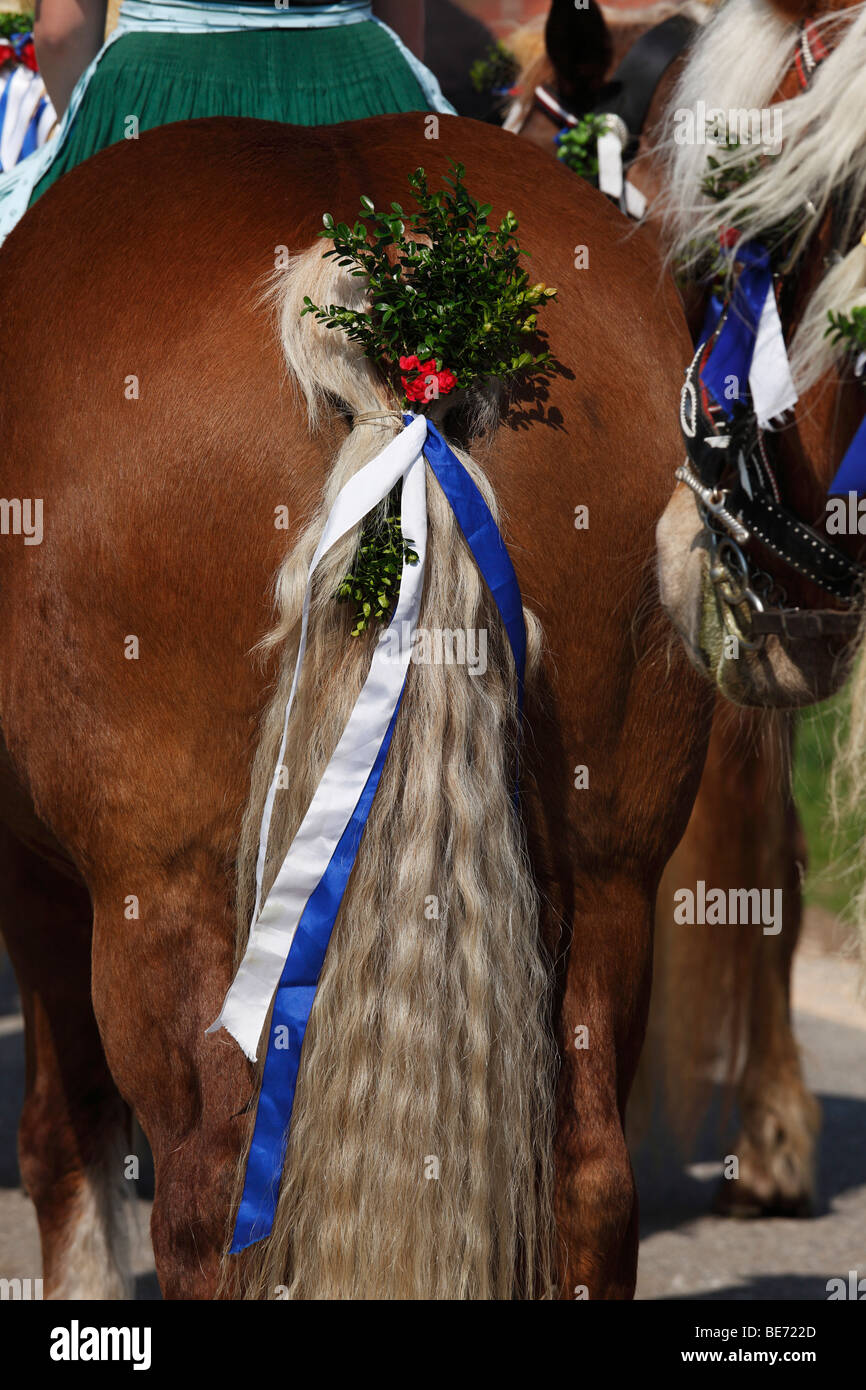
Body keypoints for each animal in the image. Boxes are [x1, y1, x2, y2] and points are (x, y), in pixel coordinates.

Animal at [0, 113, 711, 1295]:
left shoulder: (44, 881)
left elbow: (66, 1141)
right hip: (613, 879)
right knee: (591, 1182)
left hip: (167, 892)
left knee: (205, 1189)